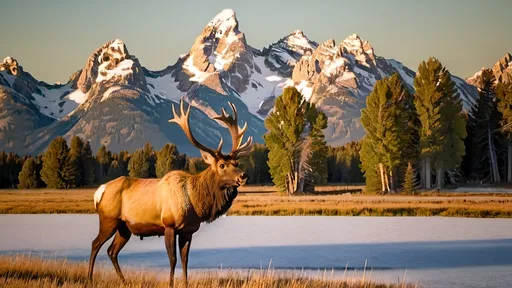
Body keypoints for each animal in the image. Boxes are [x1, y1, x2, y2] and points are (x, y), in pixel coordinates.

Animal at [90, 98, 254, 286]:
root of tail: (99, 192)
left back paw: (124, 281)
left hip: (124, 227)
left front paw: (186, 283)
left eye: (236, 163)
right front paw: (170, 283)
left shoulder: (188, 231)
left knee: (112, 251)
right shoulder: (169, 226)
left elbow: (185, 259)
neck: (195, 203)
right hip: (108, 219)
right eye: (222, 165)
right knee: (95, 244)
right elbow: (173, 259)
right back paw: (89, 278)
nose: (243, 175)